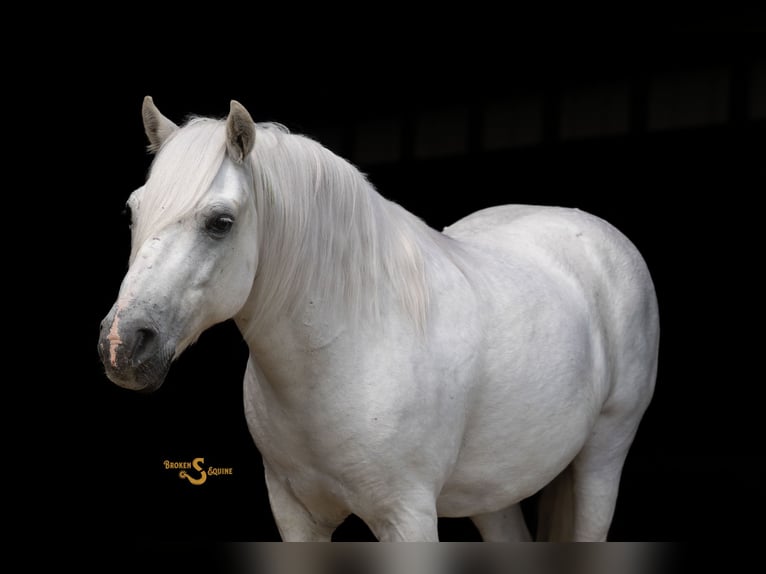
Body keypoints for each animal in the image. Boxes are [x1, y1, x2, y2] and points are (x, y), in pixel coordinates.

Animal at [98, 97, 659, 541]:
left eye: (220, 222)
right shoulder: (295, 516)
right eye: (132, 212)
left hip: (602, 459)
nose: (123, 344)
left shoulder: (407, 517)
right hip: (496, 490)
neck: (345, 349)